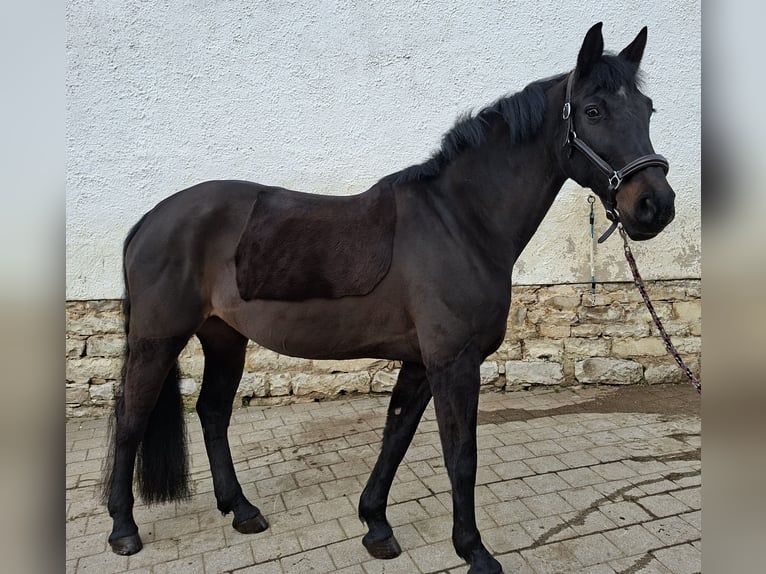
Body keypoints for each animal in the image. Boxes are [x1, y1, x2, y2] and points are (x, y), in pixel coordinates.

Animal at [102, 22, 676, 573]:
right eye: (594, 111)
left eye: (647, 108)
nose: (655, 206)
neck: (460, 222)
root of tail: (150, 219)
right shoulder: (453, 363)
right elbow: (460, 456)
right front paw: (474, 551)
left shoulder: (420, 362)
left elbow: (395, 436)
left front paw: (375, 524)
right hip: (158, 340)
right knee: (131, 419)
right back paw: (123, 529)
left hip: (224, 338)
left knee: (213, 413)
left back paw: (241, 510)